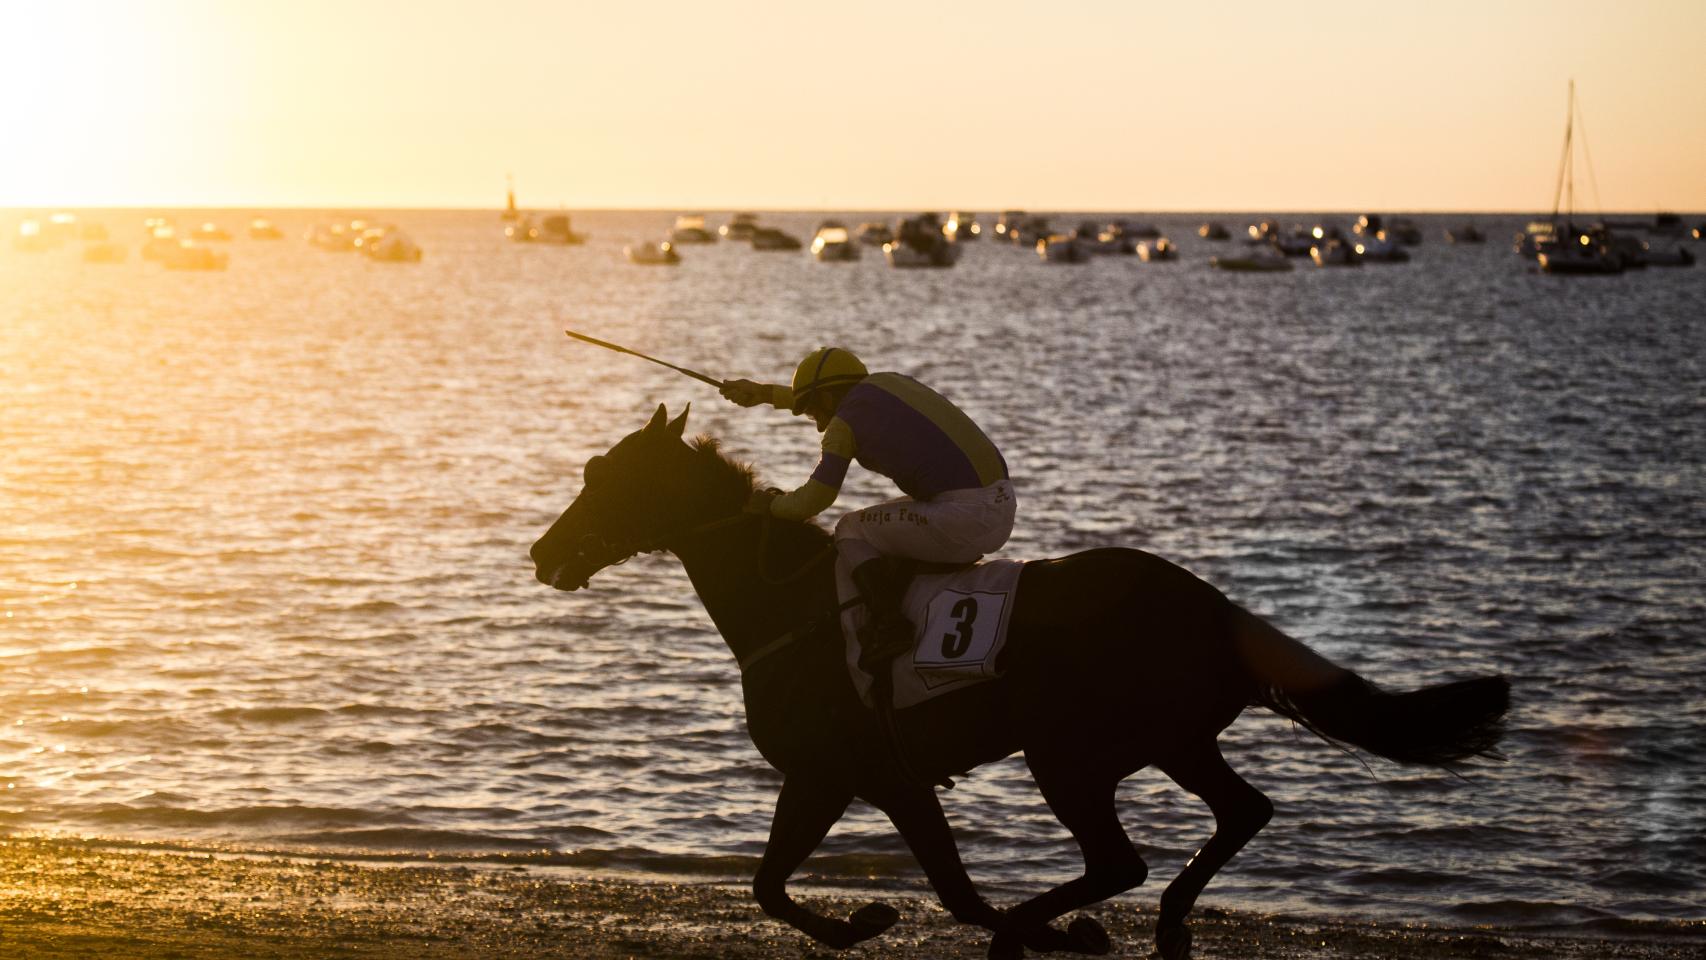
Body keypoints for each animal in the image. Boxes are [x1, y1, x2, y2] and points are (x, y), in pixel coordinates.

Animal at [530, 404, 1509, 960]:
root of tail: (1214, 606)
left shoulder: (867, 774)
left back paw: (1052, 926)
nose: (543, 554)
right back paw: (1166, 921)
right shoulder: (831, 777)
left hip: (1070, 753)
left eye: (607, 479)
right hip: (1167, 741)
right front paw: (868, 923)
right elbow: (770, 886)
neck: (792, 602)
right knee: (1240, 812)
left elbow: (946, 892)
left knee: (1121, 858)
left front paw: (909, 922)